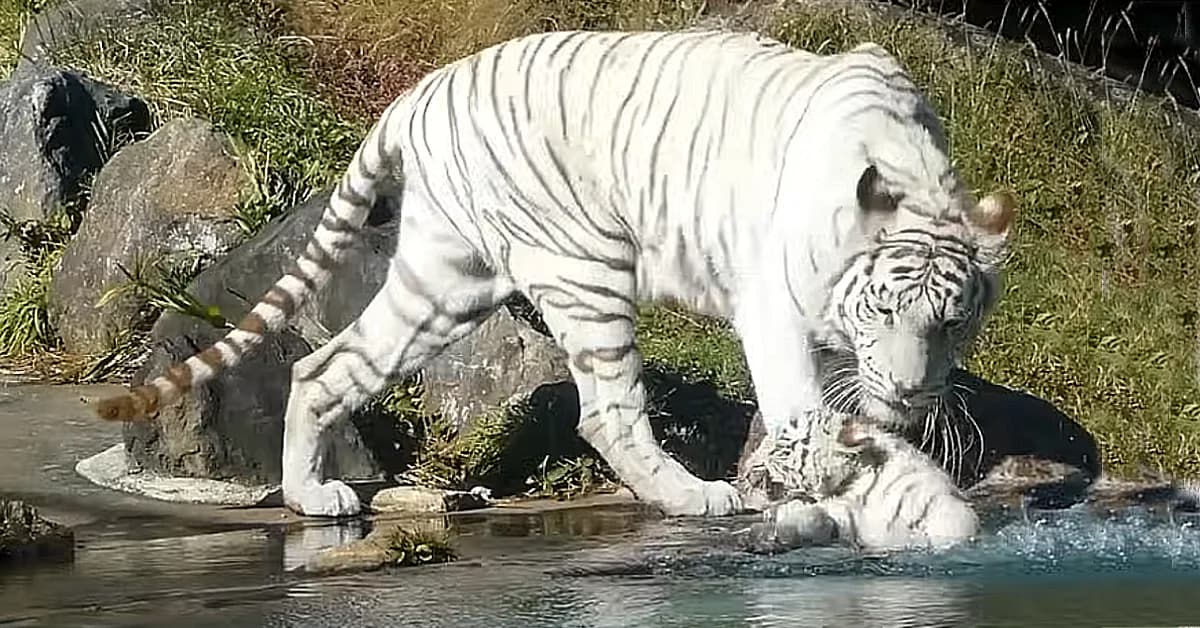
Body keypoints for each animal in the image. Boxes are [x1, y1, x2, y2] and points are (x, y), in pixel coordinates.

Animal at [91, 29, 1012, 518]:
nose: (912, 389)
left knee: (326, 365)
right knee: (606, 413)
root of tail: (418, 93)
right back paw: (692, 496)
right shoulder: (775, 309)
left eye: (951, 321)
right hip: (586, 265)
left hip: (447, 283)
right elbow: (800, 408)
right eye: (881, 312)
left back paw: (312, 497)